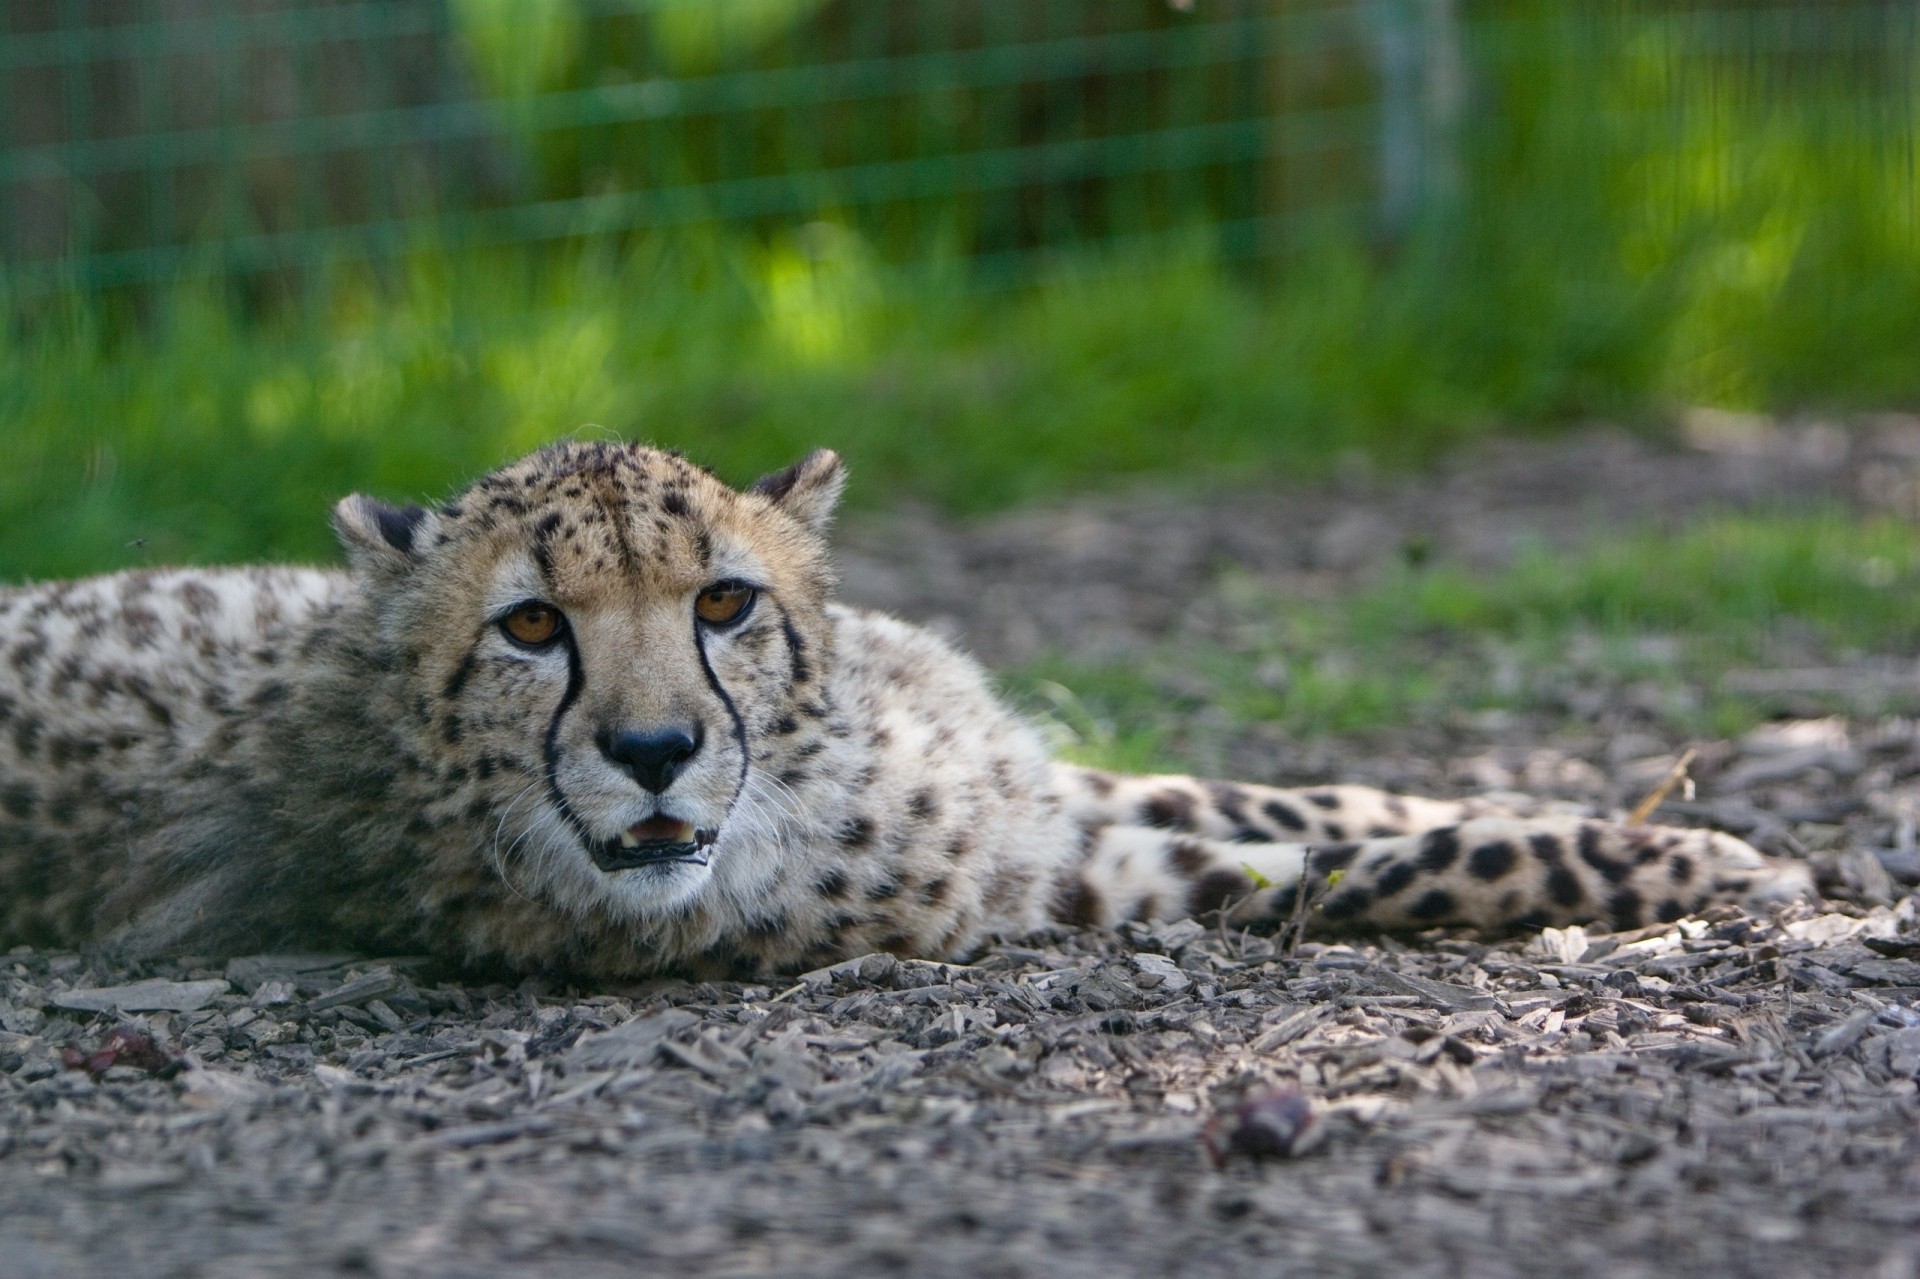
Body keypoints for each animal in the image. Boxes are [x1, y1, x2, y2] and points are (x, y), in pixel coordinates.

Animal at [0, 441, 1811, 980]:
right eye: (530, 625)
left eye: (724, 602)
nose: (653, 751)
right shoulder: (1055, 878)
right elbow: (1362, 863)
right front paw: (1726, 872)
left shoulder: (1045, 788)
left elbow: (1330, 800)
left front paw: (1702, 829)